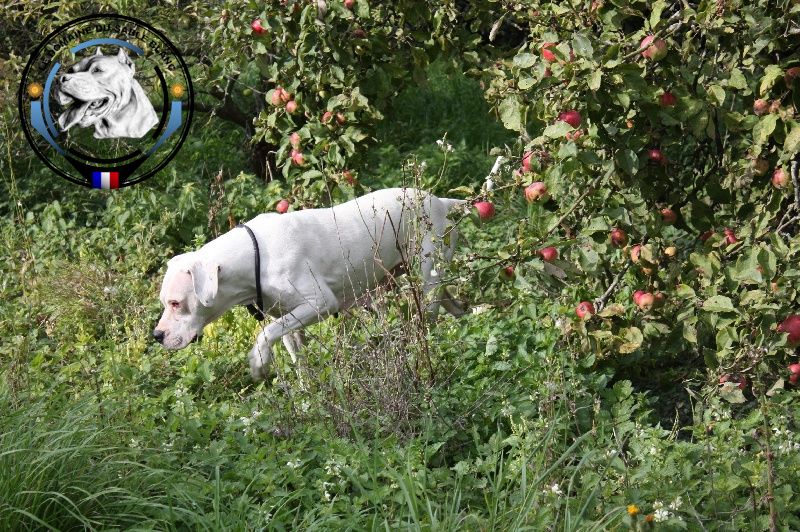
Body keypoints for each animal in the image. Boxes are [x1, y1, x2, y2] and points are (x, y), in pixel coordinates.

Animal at [154, 188, 467, 380]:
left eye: (176, 303)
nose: (156, 336)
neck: (256, 254)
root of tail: (441, 202)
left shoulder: (320, 304)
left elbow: (265, 334)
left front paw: (258, 362)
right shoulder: (286, 317)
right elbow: (294, 351)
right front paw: (308, 391)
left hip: (427, 279)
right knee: (454, 306)